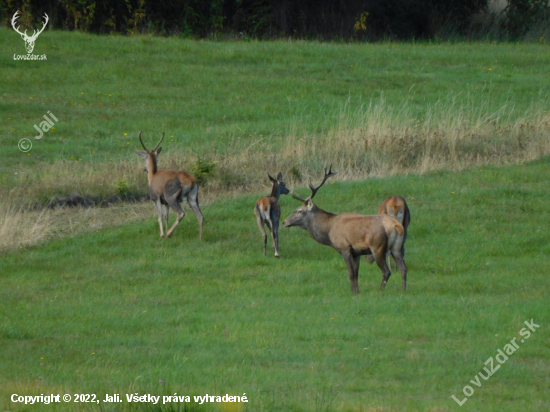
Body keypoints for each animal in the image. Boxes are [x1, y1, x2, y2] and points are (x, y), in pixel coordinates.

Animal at [284, 166, 410, 294]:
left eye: (299, 211)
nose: (284, 221)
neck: (329, 230)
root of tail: (396, 226)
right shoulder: (357, 253)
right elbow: (356, 273)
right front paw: (357, 291)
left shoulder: (344, 247)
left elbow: (351, 273)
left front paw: (353, 292)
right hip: (397, 247)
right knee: (404, 268)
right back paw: (403, 290)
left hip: (377, 247)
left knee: (386, 271)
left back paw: (380, 291)